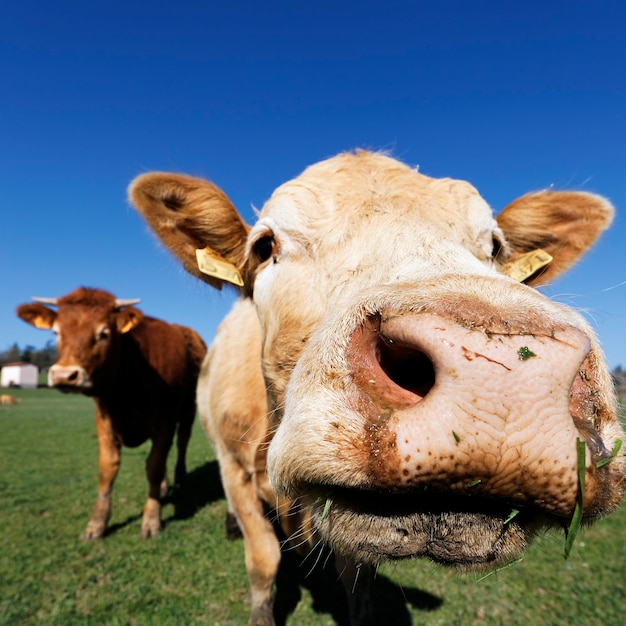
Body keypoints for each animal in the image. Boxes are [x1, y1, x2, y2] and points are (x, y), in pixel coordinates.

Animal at [15, 286, 206, 536]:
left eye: (104, 333)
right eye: (56, 332)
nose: (64, 375)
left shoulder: (165, 420)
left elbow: (154, 465)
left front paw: (151, 518)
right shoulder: (104, 420)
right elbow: (108, 468)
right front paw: (97, 522)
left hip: (188, 411)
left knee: (182, 442)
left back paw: (180, 476)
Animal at [129, 152, 620, 624]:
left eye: (497, 247)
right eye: (265, 246)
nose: (502, 376)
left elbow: (357, 579)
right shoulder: (235, 469)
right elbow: (263, 561)